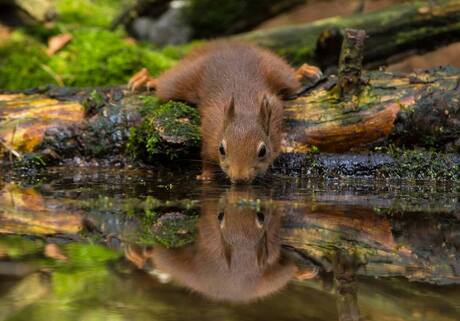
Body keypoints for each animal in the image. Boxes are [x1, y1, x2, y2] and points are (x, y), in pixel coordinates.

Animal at [127, 40, 322, 182]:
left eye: (263, 151)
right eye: (221, 149)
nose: (240, 178)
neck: (244, 108)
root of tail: (226, 45)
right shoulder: (210, 128)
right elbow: (206, 154)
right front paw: (206, 175)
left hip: (275, 68)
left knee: (290, 77)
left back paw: (304, 71)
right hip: (182, 79)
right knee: (165, 84)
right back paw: (145, 79)